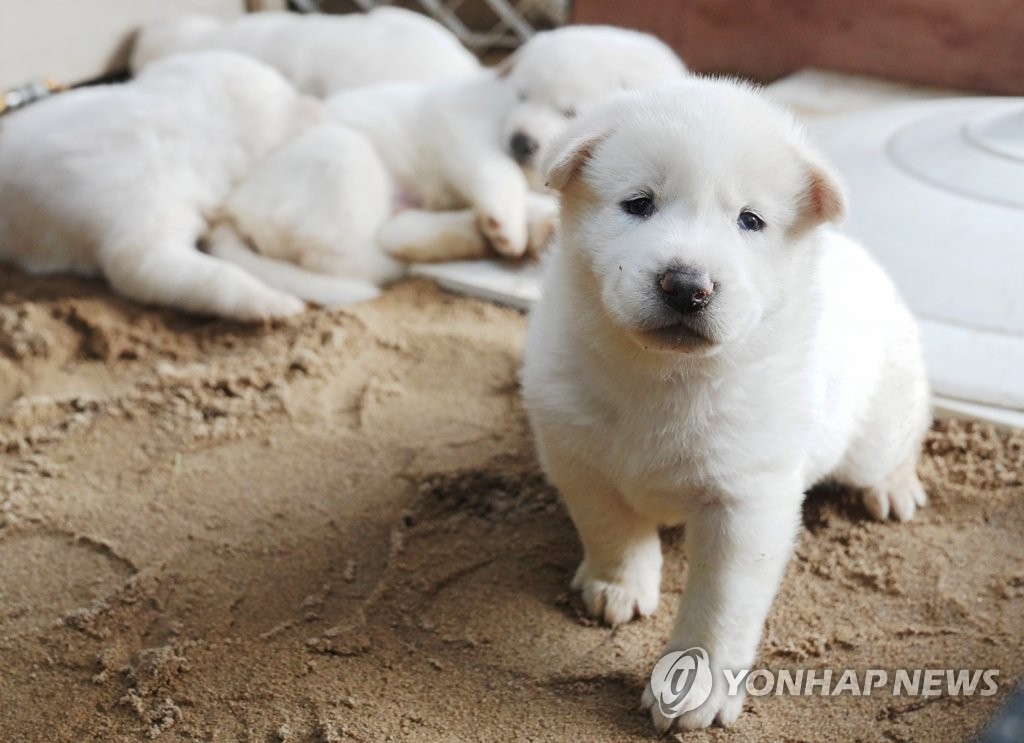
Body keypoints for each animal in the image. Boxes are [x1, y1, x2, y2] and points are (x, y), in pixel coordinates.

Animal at [524, 79, 933, 732]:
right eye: (638, 203)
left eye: (750, 220)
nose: (687, 287)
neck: (664, 378)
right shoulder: (575, 451)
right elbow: (610, 525)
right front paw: (617, 585)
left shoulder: (746, 501)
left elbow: (721, 602)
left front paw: (695, 690)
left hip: (875, 422)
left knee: (904, 434)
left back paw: (895, 486)